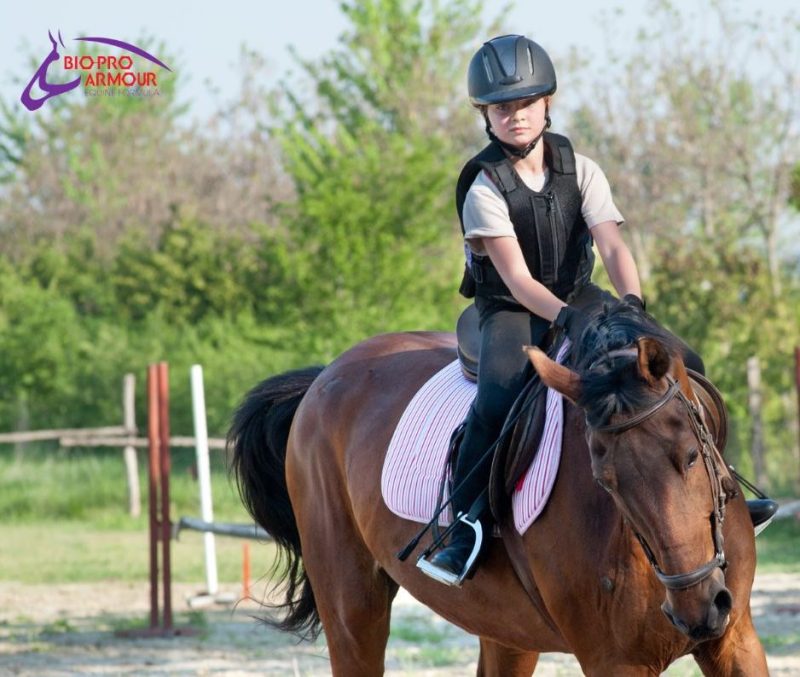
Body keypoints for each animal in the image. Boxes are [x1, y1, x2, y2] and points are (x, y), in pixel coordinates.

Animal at [228, 302, 768, 676]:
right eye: (604, 480)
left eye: (692, 456)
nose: (698, 612)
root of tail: (324, 377)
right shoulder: (614, 661)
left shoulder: (736, 640)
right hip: (351, 608)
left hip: (508, 629)